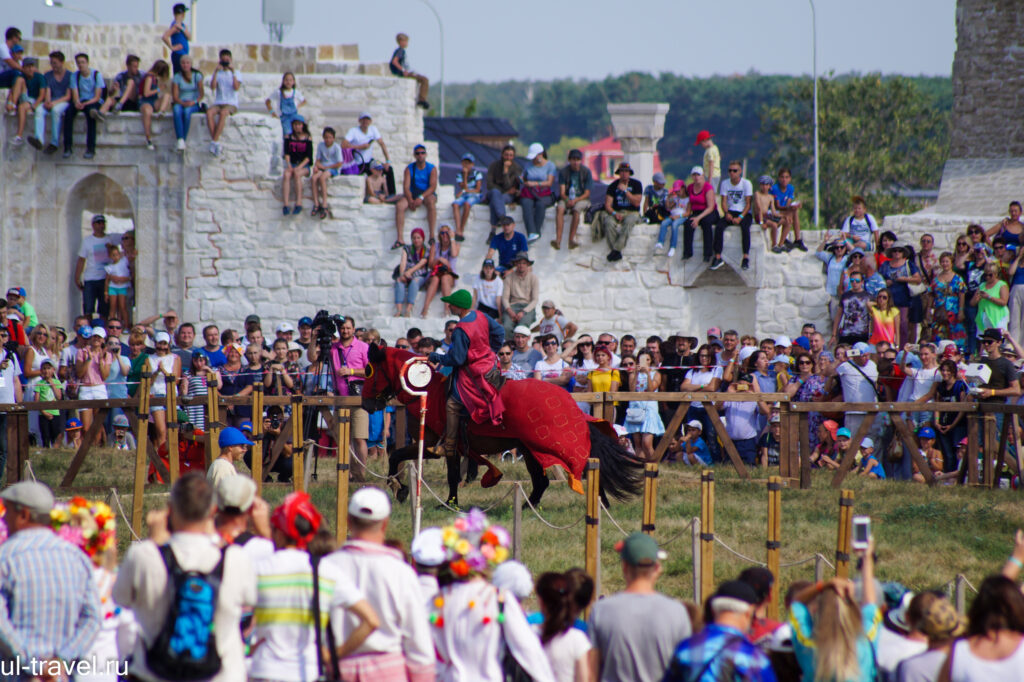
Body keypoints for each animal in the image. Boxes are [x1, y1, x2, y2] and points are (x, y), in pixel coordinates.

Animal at [364, 342, 643, 507]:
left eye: (369, 370)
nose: (367, 405)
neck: (426, 393)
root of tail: (572, 407)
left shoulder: (437, 445)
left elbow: (406, 459)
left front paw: (406, 491)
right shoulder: (444, 447)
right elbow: (410, 460)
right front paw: (407, 491)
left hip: (546, 447)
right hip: (531, 450)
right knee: (545, 481)